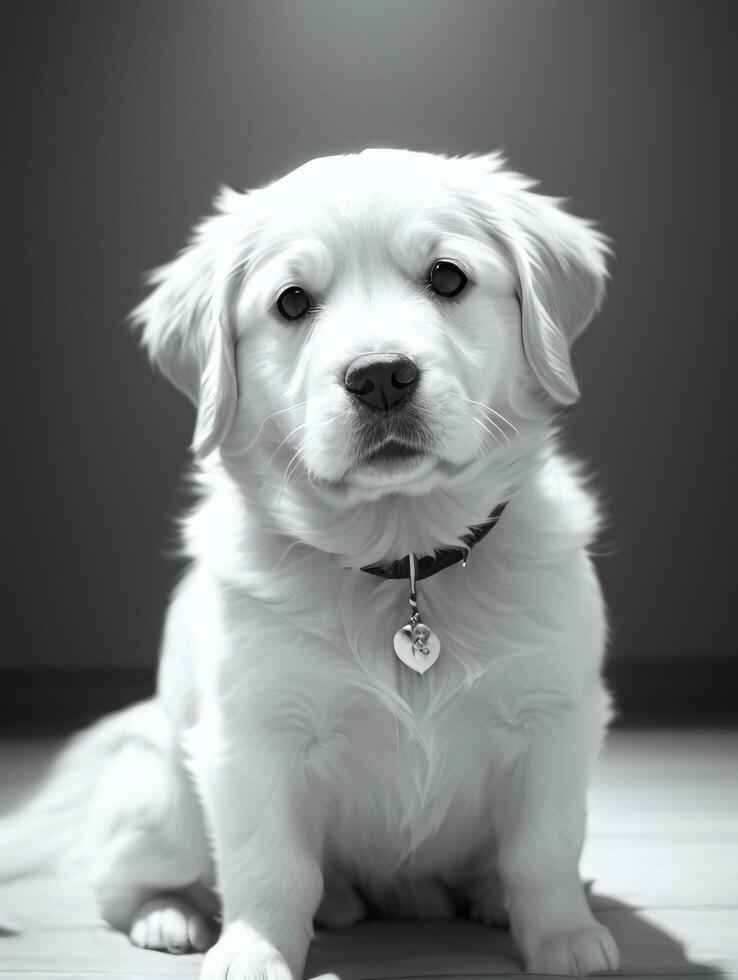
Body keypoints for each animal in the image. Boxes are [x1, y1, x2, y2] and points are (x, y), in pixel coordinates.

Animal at [2, 149, 620, 976]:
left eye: (448, 277)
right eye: (292, 302)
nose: (381, 375)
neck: (404, 559)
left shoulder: (556, 716)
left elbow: (543, 849)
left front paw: (564, 939)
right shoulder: (255, 735)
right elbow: (272, 866)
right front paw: (255, 950)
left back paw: (485, 897)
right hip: (160, 797)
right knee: (122, 883)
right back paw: (173, 916)